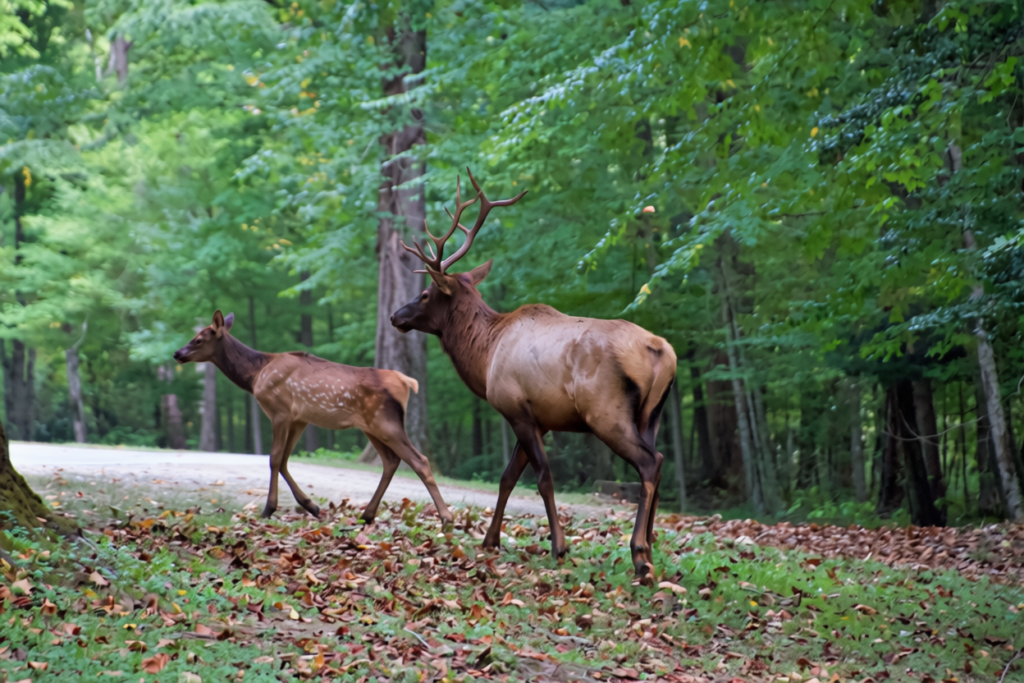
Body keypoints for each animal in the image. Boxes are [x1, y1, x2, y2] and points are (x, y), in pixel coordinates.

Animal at [173, 310, 453, 528]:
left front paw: (268, 510)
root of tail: (407, 382)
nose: (177, 353)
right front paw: (312, 506)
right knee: (391, 461)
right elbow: (284, 460)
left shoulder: (279, 410)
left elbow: (274, 459)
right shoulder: (300, 418)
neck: (254, 376)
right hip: (372, 426)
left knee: (420, 460)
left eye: (198, 339)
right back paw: (367, 515)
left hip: (386, 422)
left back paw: (446, 518)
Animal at [390, 170, 677, 581]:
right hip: (651, 414)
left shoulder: (515, 407)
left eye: (426, 293)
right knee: (661, 457)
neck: (484, 357)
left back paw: (639, 554)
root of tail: (662, 351)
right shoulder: (538, 418)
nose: (396, 315)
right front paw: (490, 540)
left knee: (649, 462)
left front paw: (558, 546)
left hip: (605, 413)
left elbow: (542, 477)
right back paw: (651, 548)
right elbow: (508, 476)